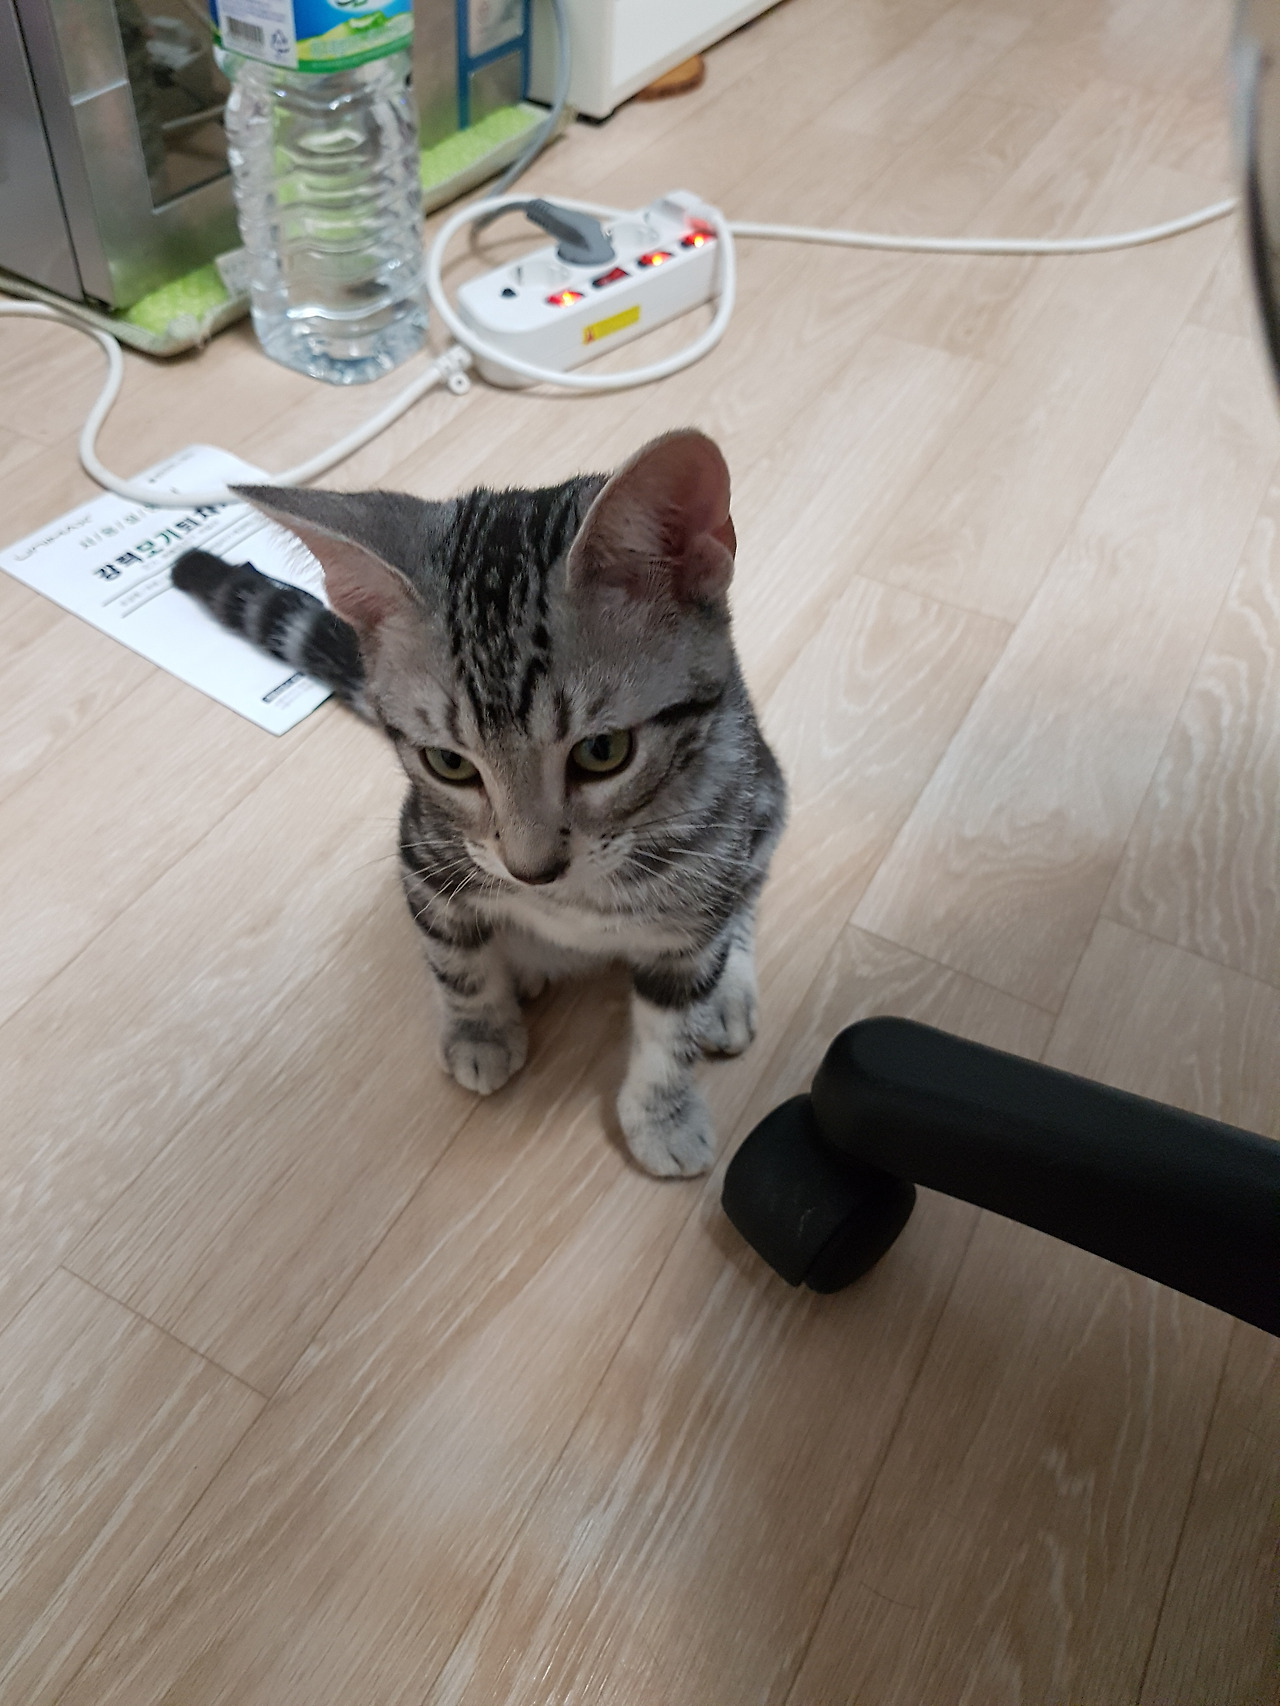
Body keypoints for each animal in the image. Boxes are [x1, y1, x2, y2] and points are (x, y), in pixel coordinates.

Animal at [173, 429, 787, 1176]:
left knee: (747, 896)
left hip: (764, 797)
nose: (532, 870)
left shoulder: (703, 889)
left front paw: (663, 1113)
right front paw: (478, 1031)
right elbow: (456, 962)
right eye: (450, 764)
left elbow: (673, 1028)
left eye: (603, 751)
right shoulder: (424, 854)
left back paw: (727, 989)